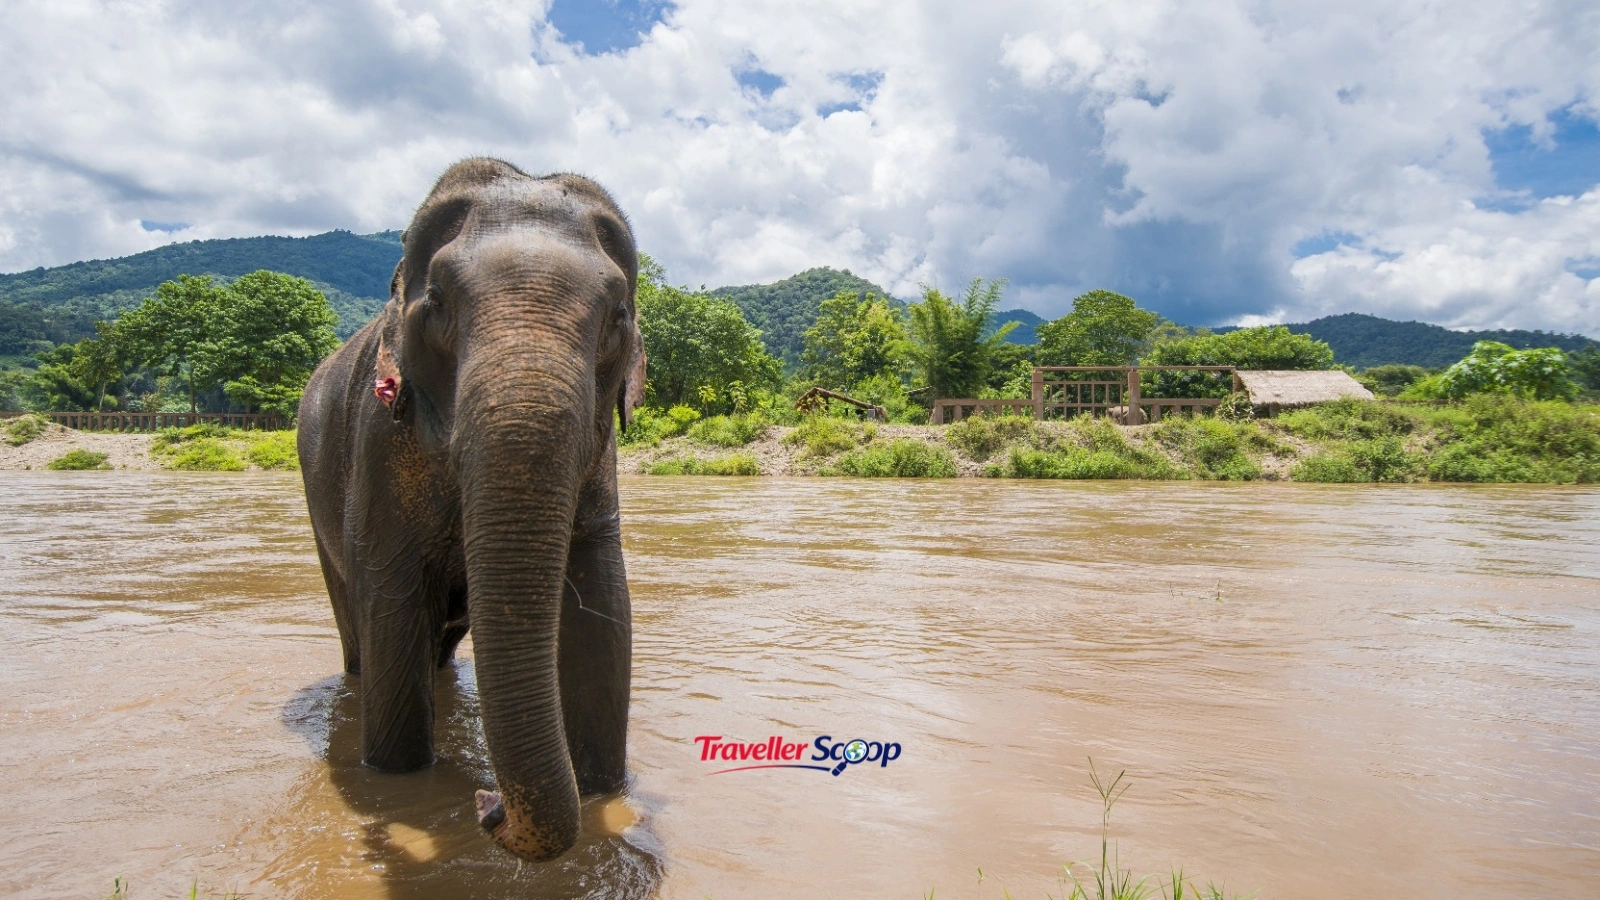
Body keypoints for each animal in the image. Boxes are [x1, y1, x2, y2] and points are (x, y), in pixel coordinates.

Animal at [296, 157, 647, 862]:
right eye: (437, 305)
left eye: (618, 316)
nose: (486, 804)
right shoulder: (380, 441)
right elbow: (392, 599)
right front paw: (398, 790)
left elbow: (602, 610)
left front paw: (602, 793)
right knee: (361, 632)